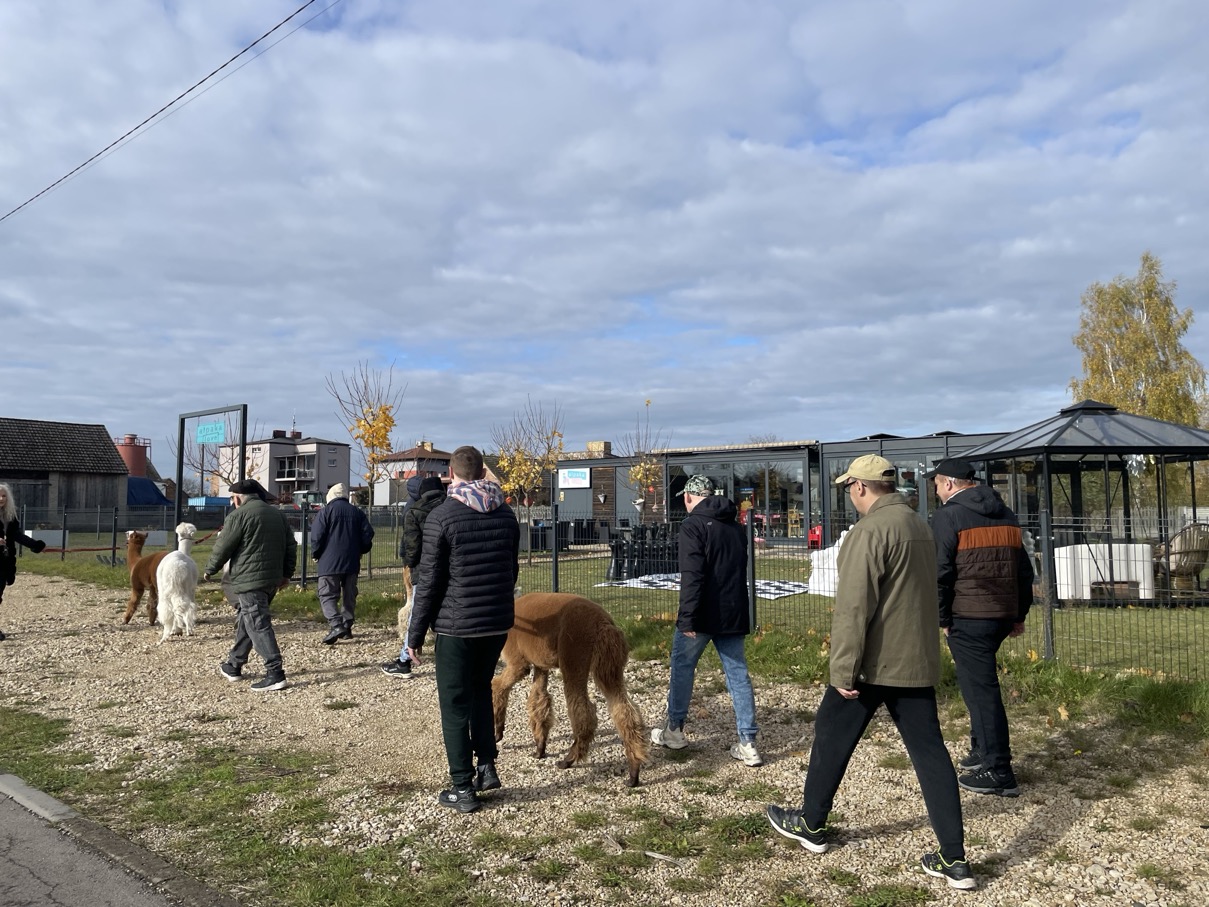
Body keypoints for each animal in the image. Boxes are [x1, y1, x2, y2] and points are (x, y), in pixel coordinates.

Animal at [492, 592, 649, 787]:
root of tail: (604, 623)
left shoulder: (518, 662)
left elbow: (497, 686)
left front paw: (498, 732)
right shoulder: (540, 664)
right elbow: (538, 701)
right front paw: (539, 748)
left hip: (574, 654)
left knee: (584, 712)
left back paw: (568, 760)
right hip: (610, 667)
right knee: (625, 710)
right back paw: (634, 772)